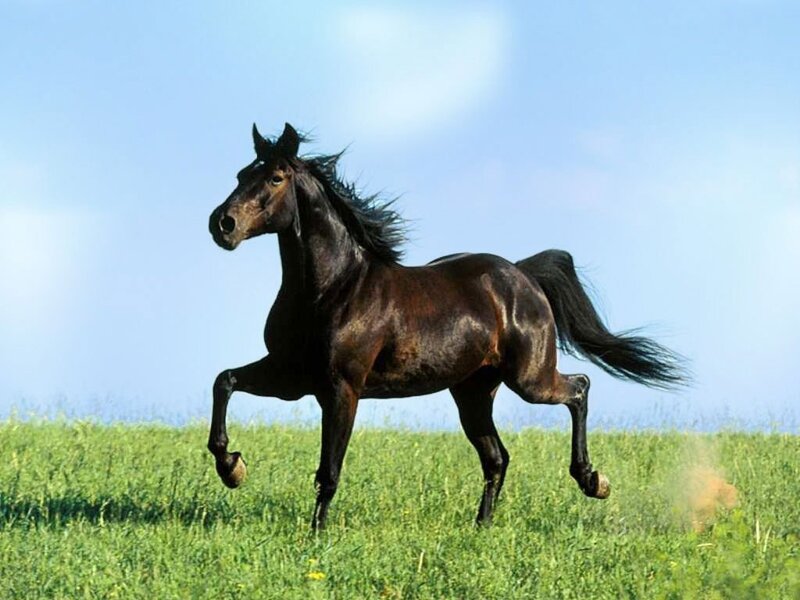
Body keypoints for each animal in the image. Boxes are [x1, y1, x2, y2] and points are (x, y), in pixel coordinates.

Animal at [207, 123, 688, 529]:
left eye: (275, 178)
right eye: (241, 173)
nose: (222, 224)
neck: (333, 289)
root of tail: (522, 274)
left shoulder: (340, 388)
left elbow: (329, 469)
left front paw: (316, 534)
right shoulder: (292, 375)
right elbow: (224, 381)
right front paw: (232, 468)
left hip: (530, 379)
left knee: (579, 388)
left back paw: (592, 480)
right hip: (473, 392)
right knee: (497, 458)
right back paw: (482, 526)